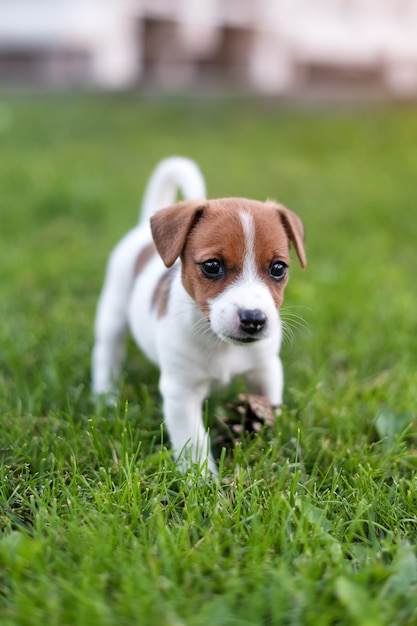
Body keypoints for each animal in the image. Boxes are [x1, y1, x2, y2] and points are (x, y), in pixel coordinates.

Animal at [92, 156, 306, 472]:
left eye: (278, 268)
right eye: (212, 266)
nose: (254, 319)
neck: (221, 345)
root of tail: (142, 230)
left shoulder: (266, 372)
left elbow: (267, 411)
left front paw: (268, 450)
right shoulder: (181, 392)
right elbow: (193, 444)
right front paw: (202, 479)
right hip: (113, 313)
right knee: (107, 353)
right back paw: (105, 396)